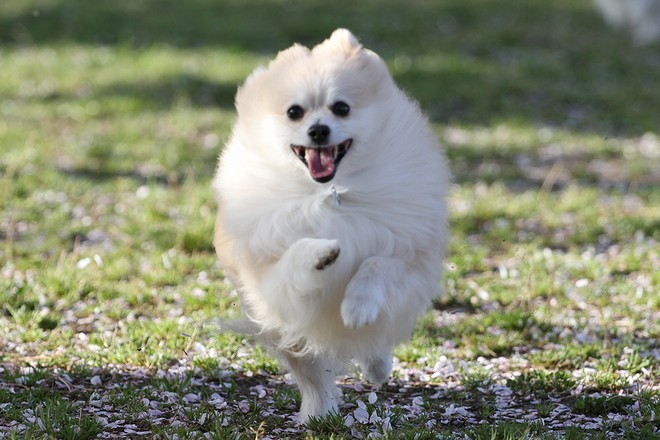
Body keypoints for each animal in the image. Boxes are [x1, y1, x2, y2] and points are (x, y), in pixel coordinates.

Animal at [212, 29, 450, 421]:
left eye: (342, 108)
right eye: (294, 112)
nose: (319, 130)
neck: (328, 192)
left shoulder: (409, 254)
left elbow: (377, 265)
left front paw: (358, 306)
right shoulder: (270, 278)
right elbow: (295, 255)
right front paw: (321, 253)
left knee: (376, 340)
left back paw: (376, 366)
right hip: (285, 330)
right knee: (310, 371)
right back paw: (318, 412)